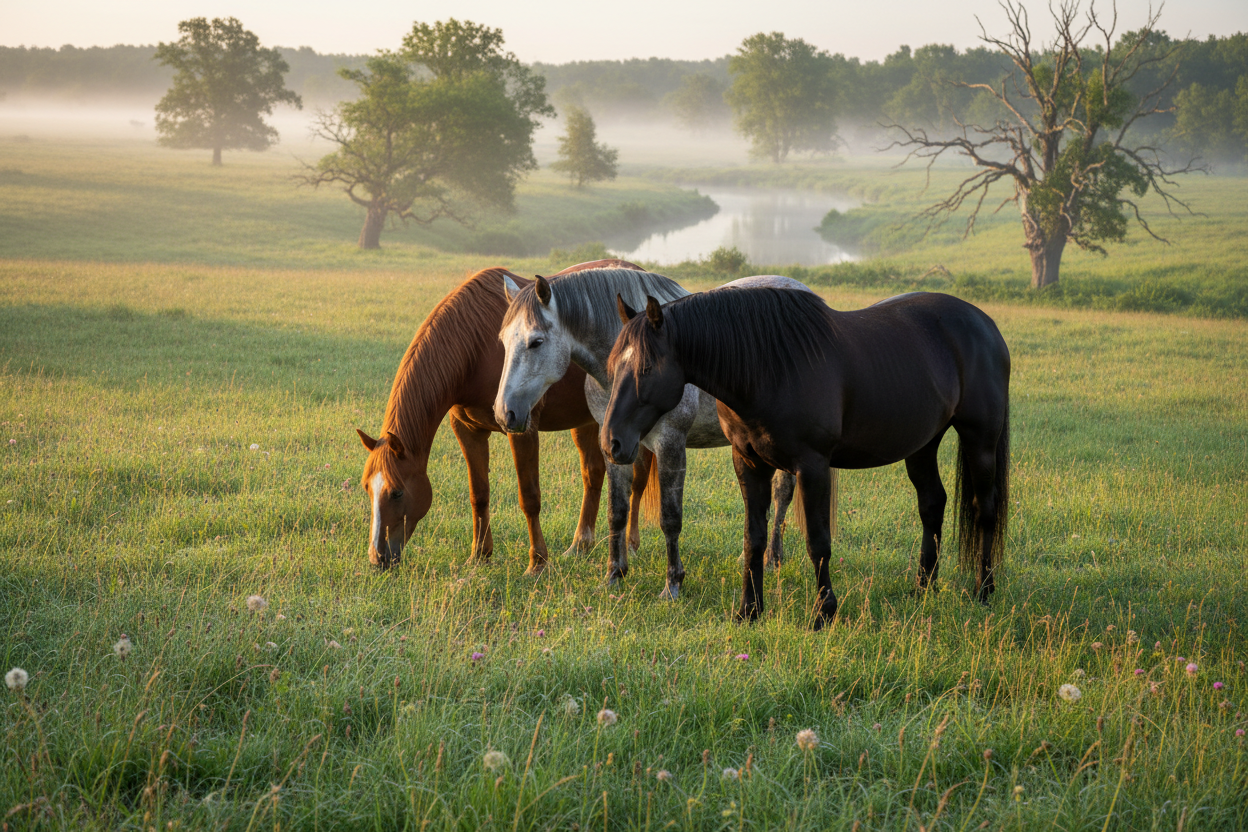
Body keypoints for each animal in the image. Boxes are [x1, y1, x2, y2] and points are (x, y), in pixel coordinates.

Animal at [356, 260, 655, 572]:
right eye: (367, 489)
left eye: (397, 492)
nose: (377, 557)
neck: (475, 348)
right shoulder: (468, 430)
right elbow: (479, 494)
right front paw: (479, 555)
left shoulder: (522, 426)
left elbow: (529, 497)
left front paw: (537, 562)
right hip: (586, 421)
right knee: (593, 474)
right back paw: (579, 546)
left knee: (638, 478)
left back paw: (631, 545)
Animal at [494, 268, 834, 599]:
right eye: (503, 341)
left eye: (536, 342)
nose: (504, 413)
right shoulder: (613, 443)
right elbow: (617, 511)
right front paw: (614, 575)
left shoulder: (670, 443)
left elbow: (670, 518)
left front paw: (673, 584)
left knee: (782, 493)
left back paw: (772, 559)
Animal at [603, 289, 1010, 629]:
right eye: (613, 367)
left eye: (646, 368)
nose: (611, 443)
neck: (768, 369)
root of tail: (986, 325)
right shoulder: (749, 464)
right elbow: (754, 539)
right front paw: (749, 611)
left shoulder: (813, 466)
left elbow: (818, 541)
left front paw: (823, 614)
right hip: (923, 445)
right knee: (932, 504)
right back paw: (923, 588)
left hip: (980, 439)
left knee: (985, 510)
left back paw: (984, 590)